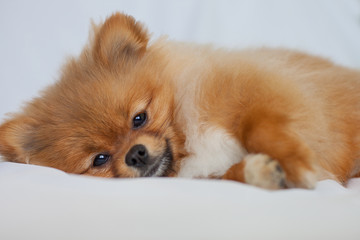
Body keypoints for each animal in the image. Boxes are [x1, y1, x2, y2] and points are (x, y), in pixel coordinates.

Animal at [0, 12, 360, 189]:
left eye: (139, 118)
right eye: (100, 159)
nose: (136, 153)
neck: (189, 138)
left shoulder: (261, 91)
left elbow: (259, 127)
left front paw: (296, 163)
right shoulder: (211, 173)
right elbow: (233, 172)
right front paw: (264, 171)